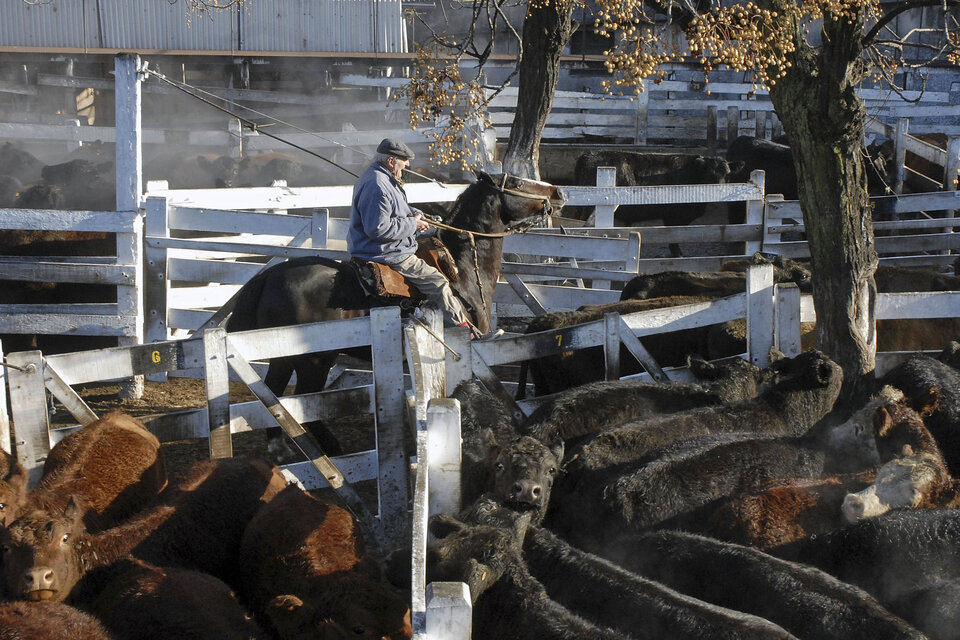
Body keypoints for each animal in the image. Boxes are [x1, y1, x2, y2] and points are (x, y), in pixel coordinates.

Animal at [224, 171, 564, 456]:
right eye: (516, 182)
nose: (558, 192)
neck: (460, 267)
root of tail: (268, 277)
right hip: (314, 359)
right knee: (307, 400)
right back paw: (332, 448)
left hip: (283, 355)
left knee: (276, 394)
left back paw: (281, 448)